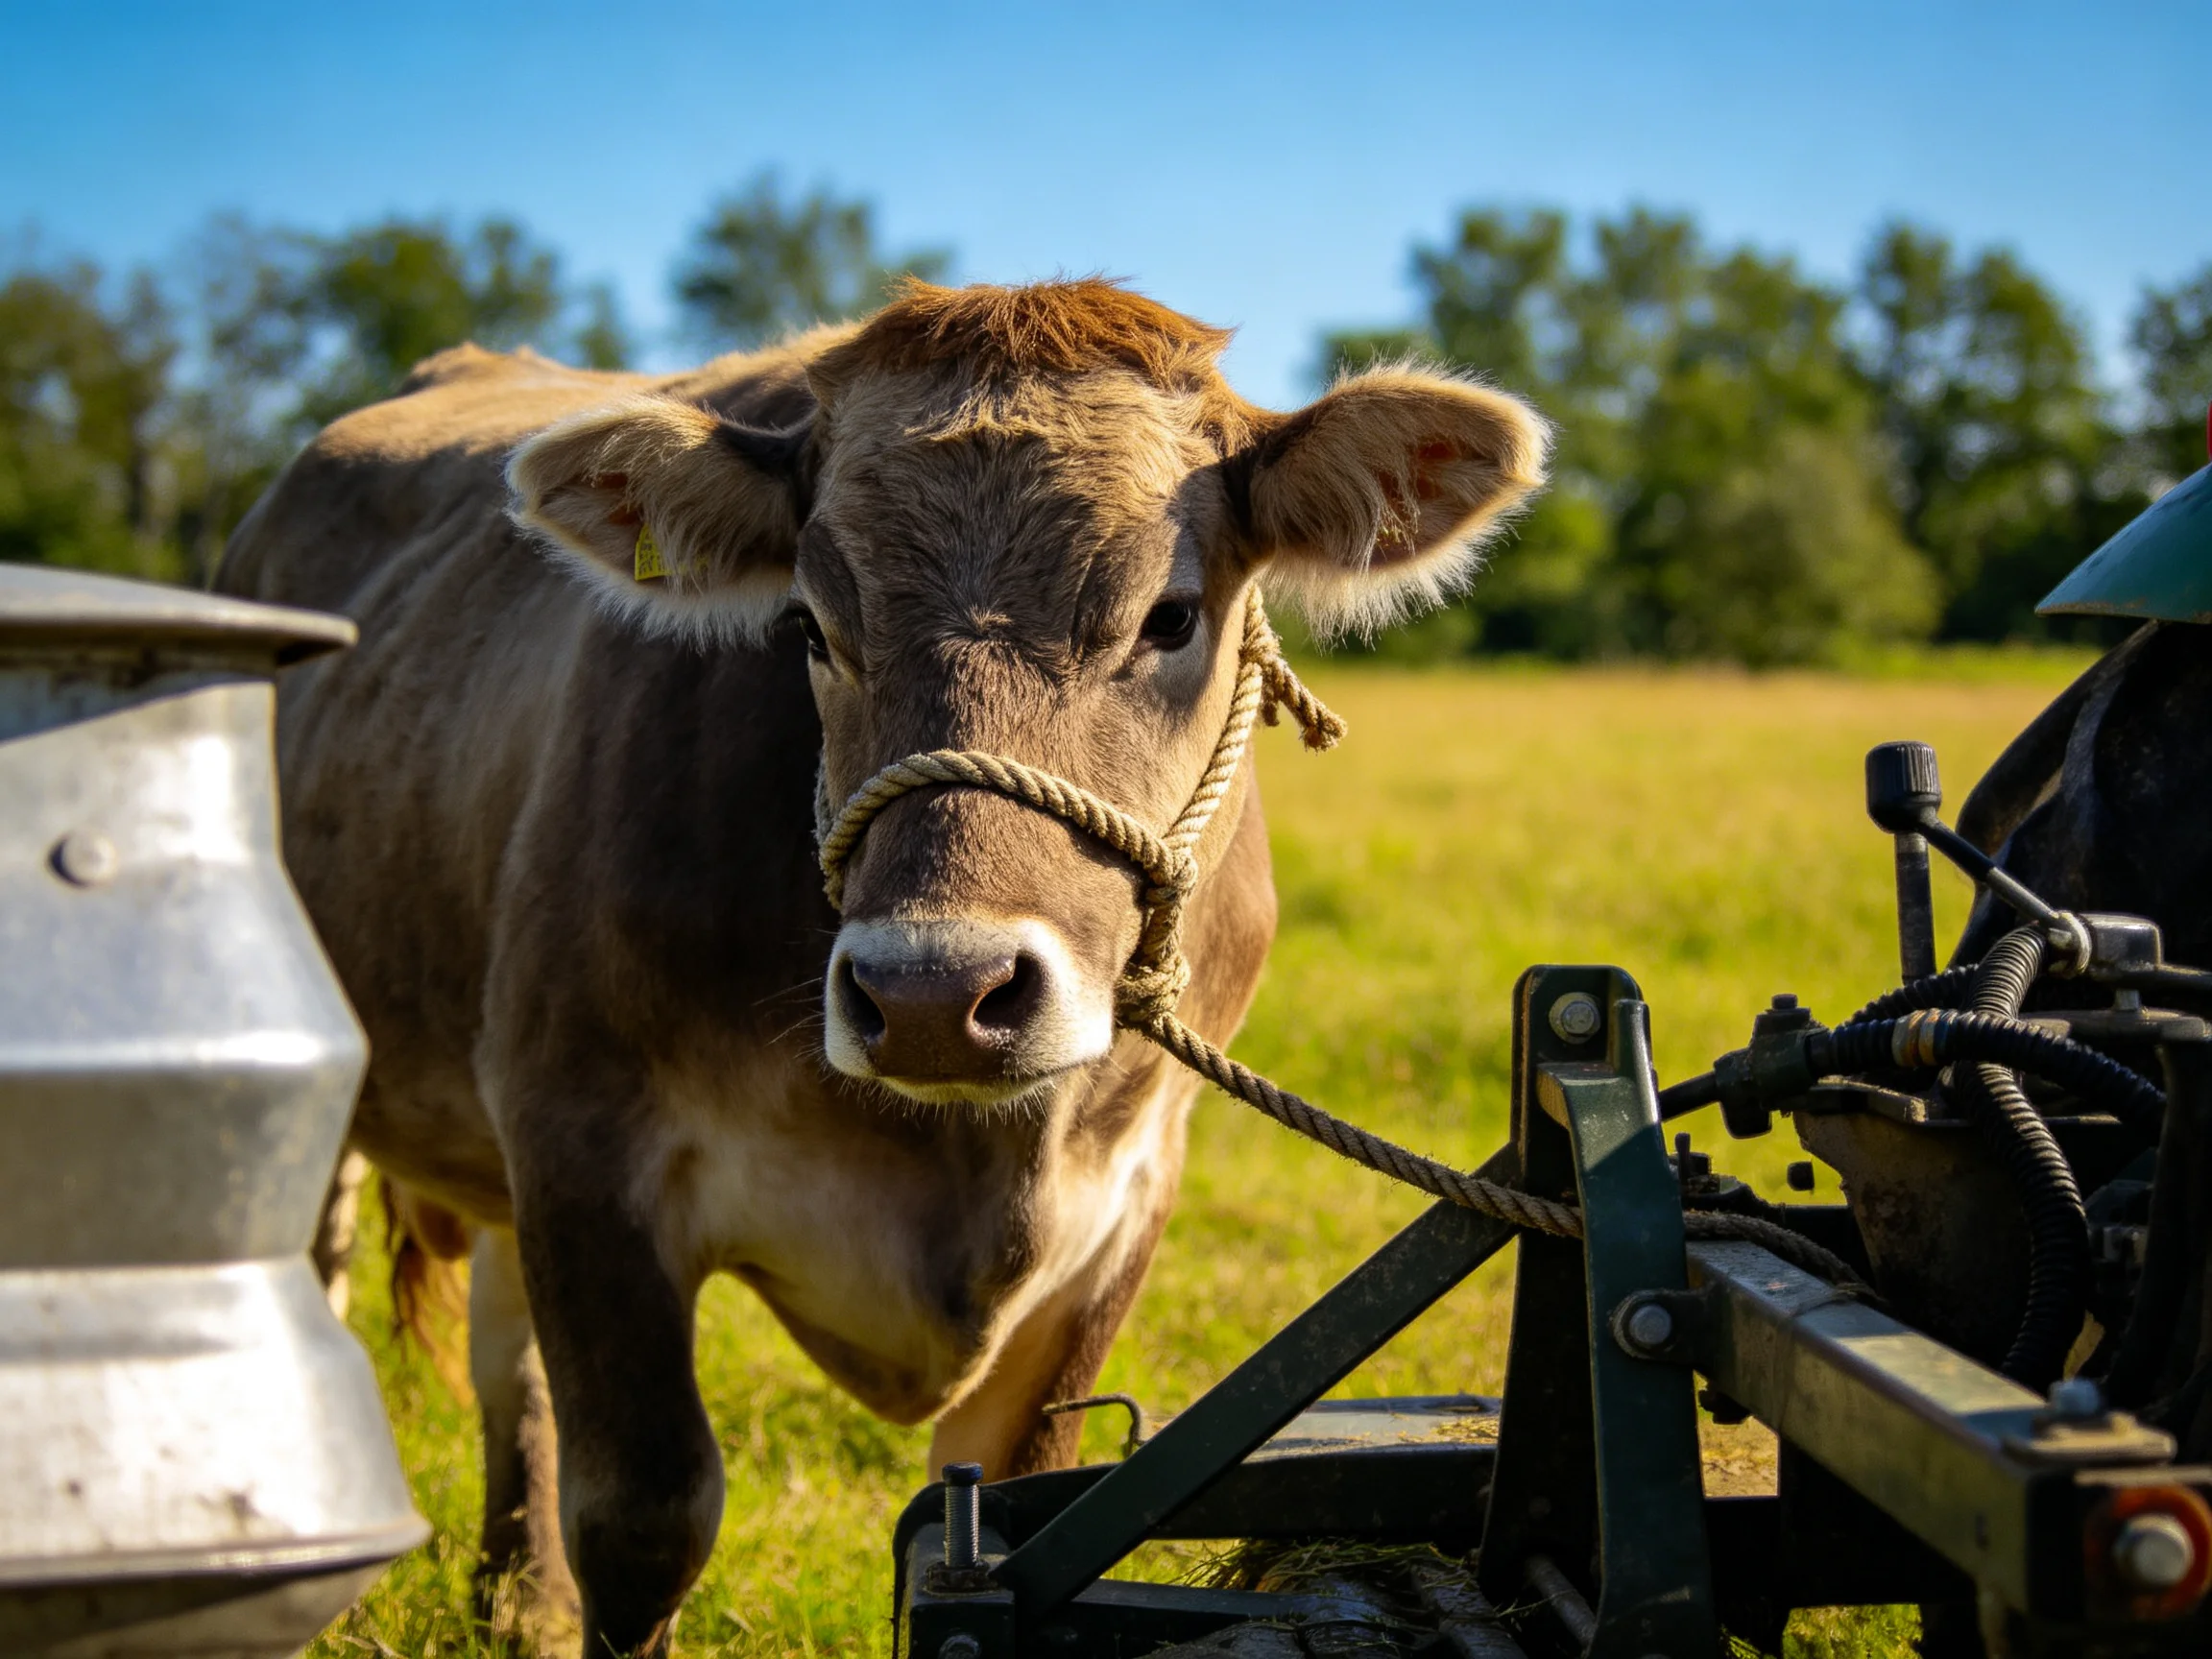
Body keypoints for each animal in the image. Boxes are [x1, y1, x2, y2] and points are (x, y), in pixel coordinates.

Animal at [214, 279, 1547, 1656]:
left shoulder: (1122, 1206)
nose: (933, 998)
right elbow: (643, 1519)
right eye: (810, 623)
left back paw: (517, 1598)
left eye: (1170, 617)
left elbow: (1023, 1503)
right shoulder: (583, 1146)